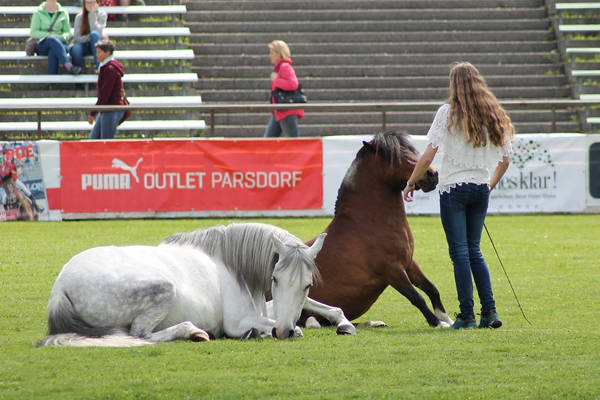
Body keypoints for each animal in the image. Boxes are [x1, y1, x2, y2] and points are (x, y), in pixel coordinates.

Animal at [308, 131, 452, 328]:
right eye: (397, 157)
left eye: (411, 151)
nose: (432, 174)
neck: (368, 223)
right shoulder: (392, 270)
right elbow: (416, 297)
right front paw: (437, 323)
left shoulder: (408, 263)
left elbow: (431, 288)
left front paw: (449, 320)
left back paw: (374, 323)